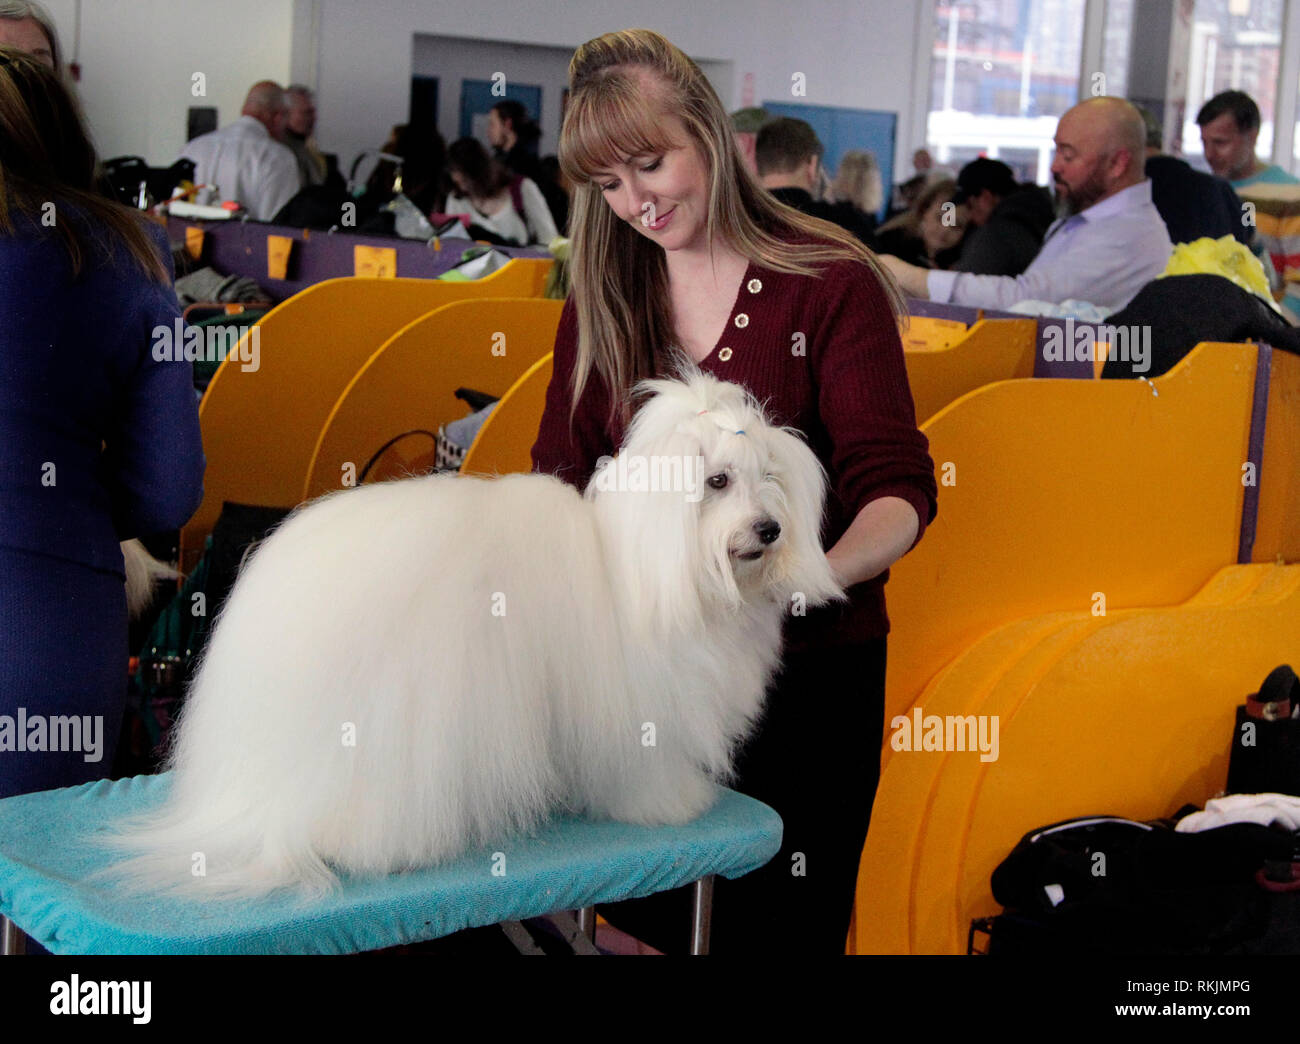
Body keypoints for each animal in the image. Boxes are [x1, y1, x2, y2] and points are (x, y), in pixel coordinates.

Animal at [96, 374, 837, 899]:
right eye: (717, 480)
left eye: (769, 479)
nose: (769, 530)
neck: (650, 566)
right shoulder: (639, 715)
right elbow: (643, 770)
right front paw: (671, 805)